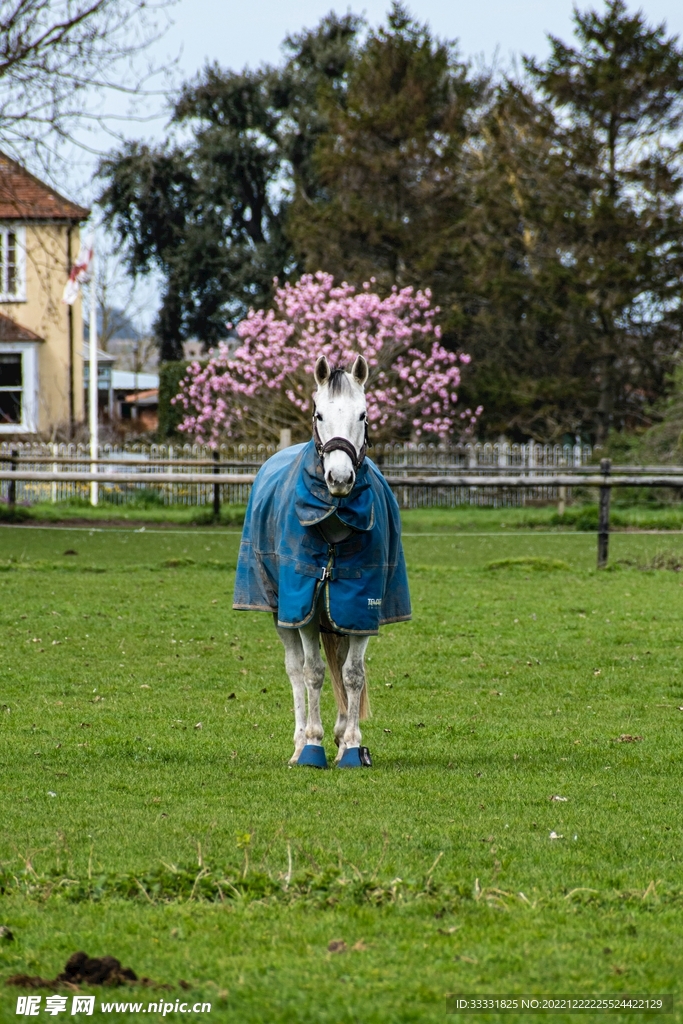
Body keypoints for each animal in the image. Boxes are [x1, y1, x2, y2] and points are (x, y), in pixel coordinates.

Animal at [233, 354, 411, 768]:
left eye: (363, 414)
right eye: (318, 413)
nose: (340, 477)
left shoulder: (359, 607)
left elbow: (353, 674)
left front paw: (351, 745)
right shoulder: (305, 606)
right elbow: (312, 672)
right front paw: (313, 745)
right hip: (281, 611)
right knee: (295, 670)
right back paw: (300, 743)